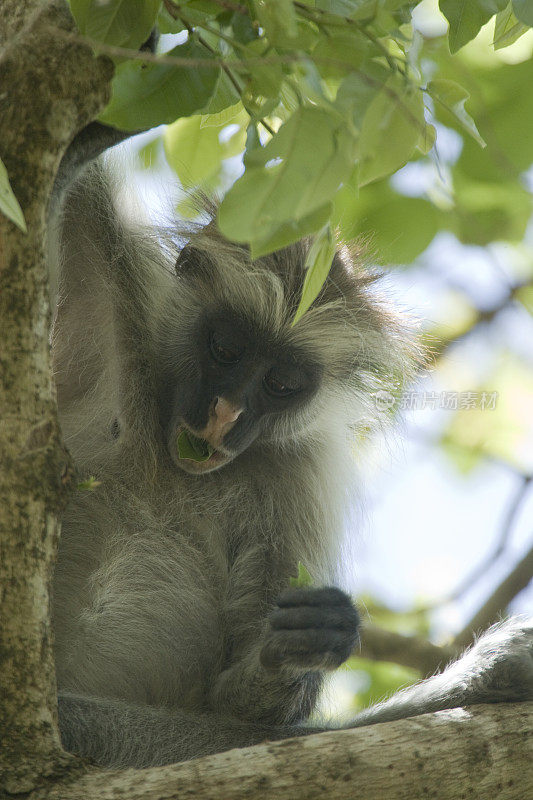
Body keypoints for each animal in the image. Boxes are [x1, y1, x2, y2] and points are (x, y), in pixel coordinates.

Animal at [46, 122, 532, 764]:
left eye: (281, 384)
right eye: (226, 349)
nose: (227, 414)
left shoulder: (299, 473)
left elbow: (244, 710)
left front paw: (307, 645)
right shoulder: (113, 291)